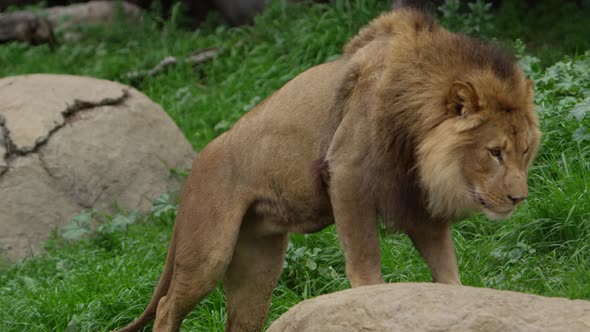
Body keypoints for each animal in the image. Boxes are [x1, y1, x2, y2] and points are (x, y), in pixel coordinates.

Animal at [114, 7, 540, 332]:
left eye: (525, 151)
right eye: (495, 152)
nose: (519, 198)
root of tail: (199, 160)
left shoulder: (414, 197)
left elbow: (446, 266)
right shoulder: (347, 172)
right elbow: (364, 255)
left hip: (257, 270)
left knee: (240, 319)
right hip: (208, 252)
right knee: (167, 305)